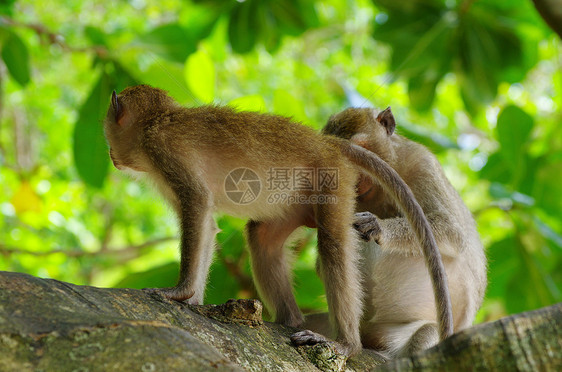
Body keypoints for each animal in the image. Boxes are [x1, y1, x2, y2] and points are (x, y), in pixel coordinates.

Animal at [105, 85, 452, 358]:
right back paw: (291, 320)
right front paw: (193, 300)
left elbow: (196, 206)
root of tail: (329, 143)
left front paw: (179, 292)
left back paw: (346, 344)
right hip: (296, 204)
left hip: (333, 180)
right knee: (262, 238)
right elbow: (207, 223)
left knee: (334, 248)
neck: (157, 120)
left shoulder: (161, 149)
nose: (110, 154)